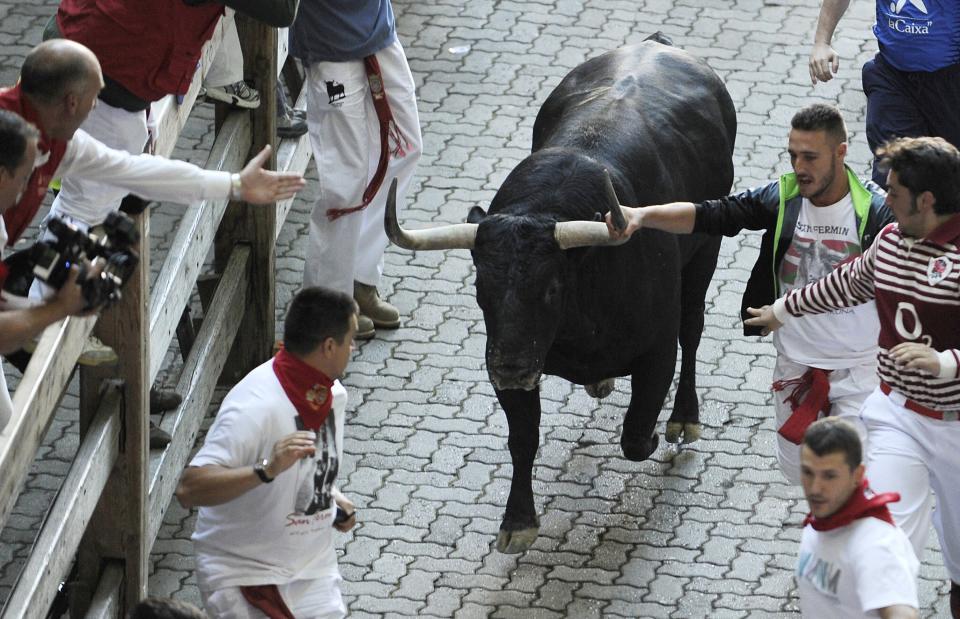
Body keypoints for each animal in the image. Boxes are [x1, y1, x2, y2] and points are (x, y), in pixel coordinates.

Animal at [382, 40, 736, 552]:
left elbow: (636, 433)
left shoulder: (657, 350)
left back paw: (683, 417)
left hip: (706, 251)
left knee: (693, 331)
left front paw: (653, 436)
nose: (509, 365)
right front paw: (517, 521)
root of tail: (658, 44)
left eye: (550, 288)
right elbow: (523, 438)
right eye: (480, 287)